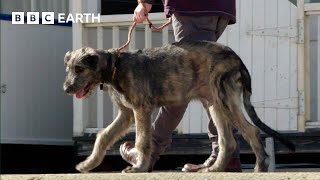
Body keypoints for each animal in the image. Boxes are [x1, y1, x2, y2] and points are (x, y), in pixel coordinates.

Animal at [63, 40, 296, 173]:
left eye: (80, 69)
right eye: (69, 68)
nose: (66, 88)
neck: (115, 66)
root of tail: (237, 59)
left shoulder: (141, 109)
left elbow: (141, 141)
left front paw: (139, 167)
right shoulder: (126, 113)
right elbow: (103, 136)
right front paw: (88, 164)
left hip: (224, 100)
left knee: (251, 131)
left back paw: (260, 166)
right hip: (214, 104)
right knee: (228, 141)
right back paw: (215, 168)